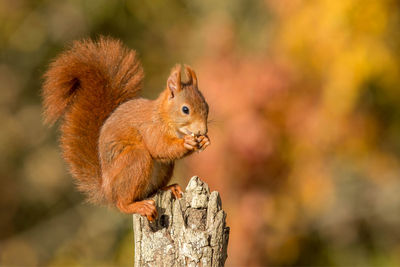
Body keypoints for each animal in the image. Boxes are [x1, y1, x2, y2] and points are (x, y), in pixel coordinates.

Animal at [41, 37, 209, 222]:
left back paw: (168, 188)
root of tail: (107, 191)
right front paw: (187, 143)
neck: (163, 116)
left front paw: (205, 141)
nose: (203, 131)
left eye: (207, 106)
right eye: (185, 109)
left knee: (151, 190)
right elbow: (159, 147)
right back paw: (138, 206)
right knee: (123, 202)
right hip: (135, 161)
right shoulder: (150, 128)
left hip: (163, 169)